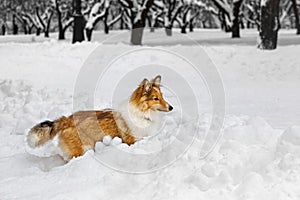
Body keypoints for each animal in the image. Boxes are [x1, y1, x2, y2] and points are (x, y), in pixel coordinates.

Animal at [28, 75, 175, 161]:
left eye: (162, 97)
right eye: (156, 98)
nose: (171, 107)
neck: (142, 113)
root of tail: (67, 119)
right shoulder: (132, 141)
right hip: (82, 149)